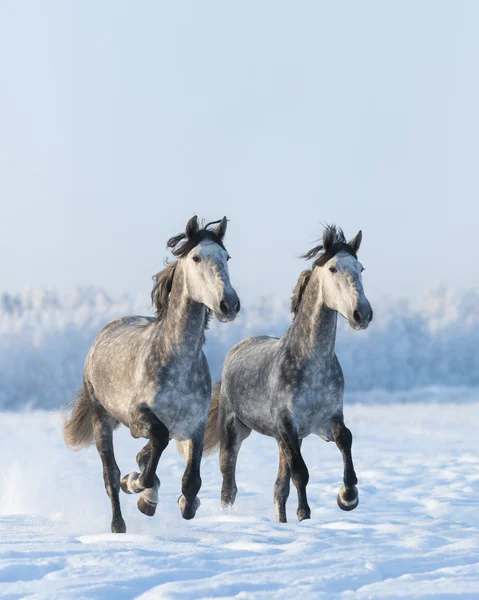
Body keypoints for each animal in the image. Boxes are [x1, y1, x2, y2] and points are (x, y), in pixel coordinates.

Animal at [64, 214, 240, 528]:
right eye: (196, 257)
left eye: (227, 257)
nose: (229, 304)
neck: (178, 364)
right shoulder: (139, 418)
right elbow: (156, 444)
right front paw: (139, 488)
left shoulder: (194, 427)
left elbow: (191, 483)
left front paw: (179, 500)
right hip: (102, 419)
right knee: (110, 475)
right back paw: (119, 522)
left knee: (144, 455)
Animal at [204, 225, 374, 520]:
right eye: (333, 268)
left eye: (360, 268)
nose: (362, 313)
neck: (311, 365)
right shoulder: (288, 426)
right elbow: (301, 473)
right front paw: (305, 513)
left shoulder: (325, 422)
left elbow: (346, 438)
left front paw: (348, 496)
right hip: (235, 430)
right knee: (229, 484)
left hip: (282, 440)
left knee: (278, 489)